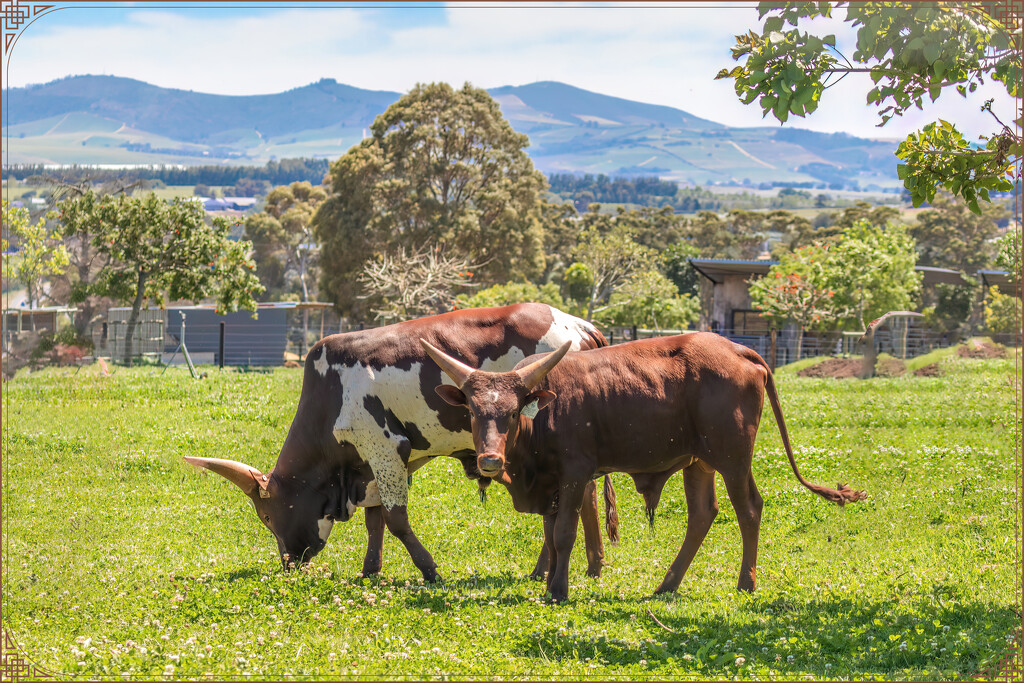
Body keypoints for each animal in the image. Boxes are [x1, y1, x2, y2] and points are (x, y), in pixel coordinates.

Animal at [182, 305, 614, 581]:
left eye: (268, 517)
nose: (289, 562)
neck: (330, 394)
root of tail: (578, 326)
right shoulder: (372, 464)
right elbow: (375, 521)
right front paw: (370, 570)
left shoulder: (385, 450)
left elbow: (395, 520)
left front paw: (429, 569)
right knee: (585, 495)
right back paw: (591, 565)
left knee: (573, 500)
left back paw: (551, 568)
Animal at [419, 331, 868, 602]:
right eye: (473, 412)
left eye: (512, 412)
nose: (490, 460)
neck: (542, 417)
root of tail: (737, 349)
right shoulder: (549, 484)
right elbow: (549, 534)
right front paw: (549, 581)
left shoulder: (575, 474)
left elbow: (563, 534)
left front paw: (558, 590)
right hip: (698, 463)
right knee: (702, 514)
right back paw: (667, 585)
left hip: (733, 458)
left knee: (749, 510)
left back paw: (745, 583)